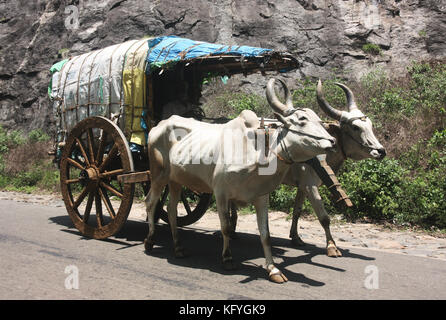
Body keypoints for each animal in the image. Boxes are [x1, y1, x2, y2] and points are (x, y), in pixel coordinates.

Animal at [145, 79, 336, 284]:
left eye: (319, 119)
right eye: (302, 119)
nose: (332, 141)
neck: (257, 151)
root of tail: (159, 125)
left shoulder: (261, 197)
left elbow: (265, 235)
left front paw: (273, 269)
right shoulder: (220, 193)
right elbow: (226, 228)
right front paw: (228, 259)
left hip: (175, 181)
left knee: (172, 210)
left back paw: (178, 247)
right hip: (158, 175)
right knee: (150, 202)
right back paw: (149, 241)